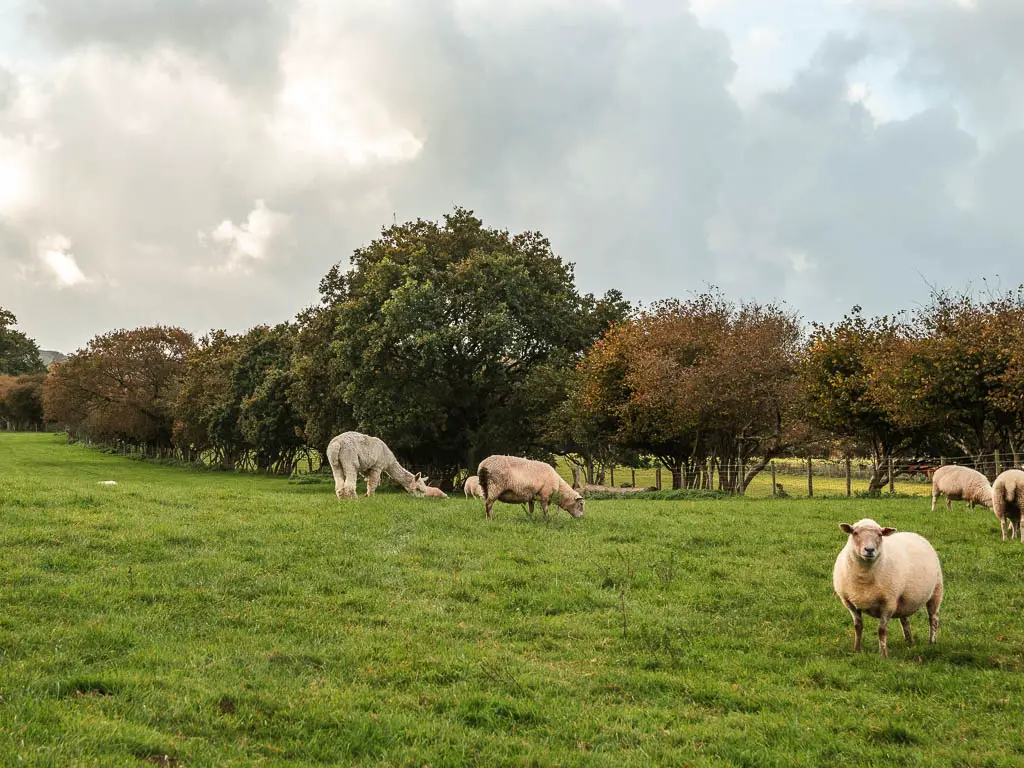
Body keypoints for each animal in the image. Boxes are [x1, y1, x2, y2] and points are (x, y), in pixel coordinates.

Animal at [831, 520, 942, 659]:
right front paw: (856, 650)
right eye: (855, 533)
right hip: (904, 599)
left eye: (880, 534)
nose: (869, 550)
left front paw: (883, 655)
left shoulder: (888, 603)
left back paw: (932, 642)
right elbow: (858, 626)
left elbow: (882, 630)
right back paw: (909, 642)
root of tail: (914, 534)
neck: (864, 578)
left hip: (936, 590)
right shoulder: (850, 603)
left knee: (933, 618)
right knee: (905, 620)